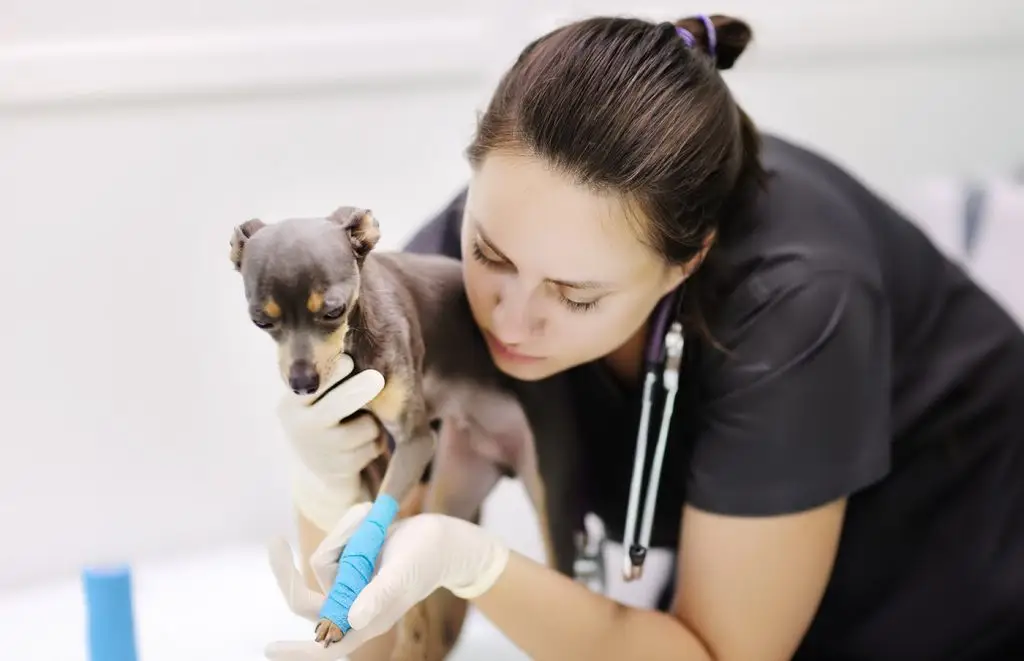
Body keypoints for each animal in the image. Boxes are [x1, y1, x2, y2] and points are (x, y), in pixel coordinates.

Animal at [230, 204, 561, 658]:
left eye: (332, 311)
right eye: (260, 321)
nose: (302, 384)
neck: (353, 348)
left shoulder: (415, 440)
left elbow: (378, 517)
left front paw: (346, 605)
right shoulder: (369, 445)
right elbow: (376, 513)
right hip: (451, 488)